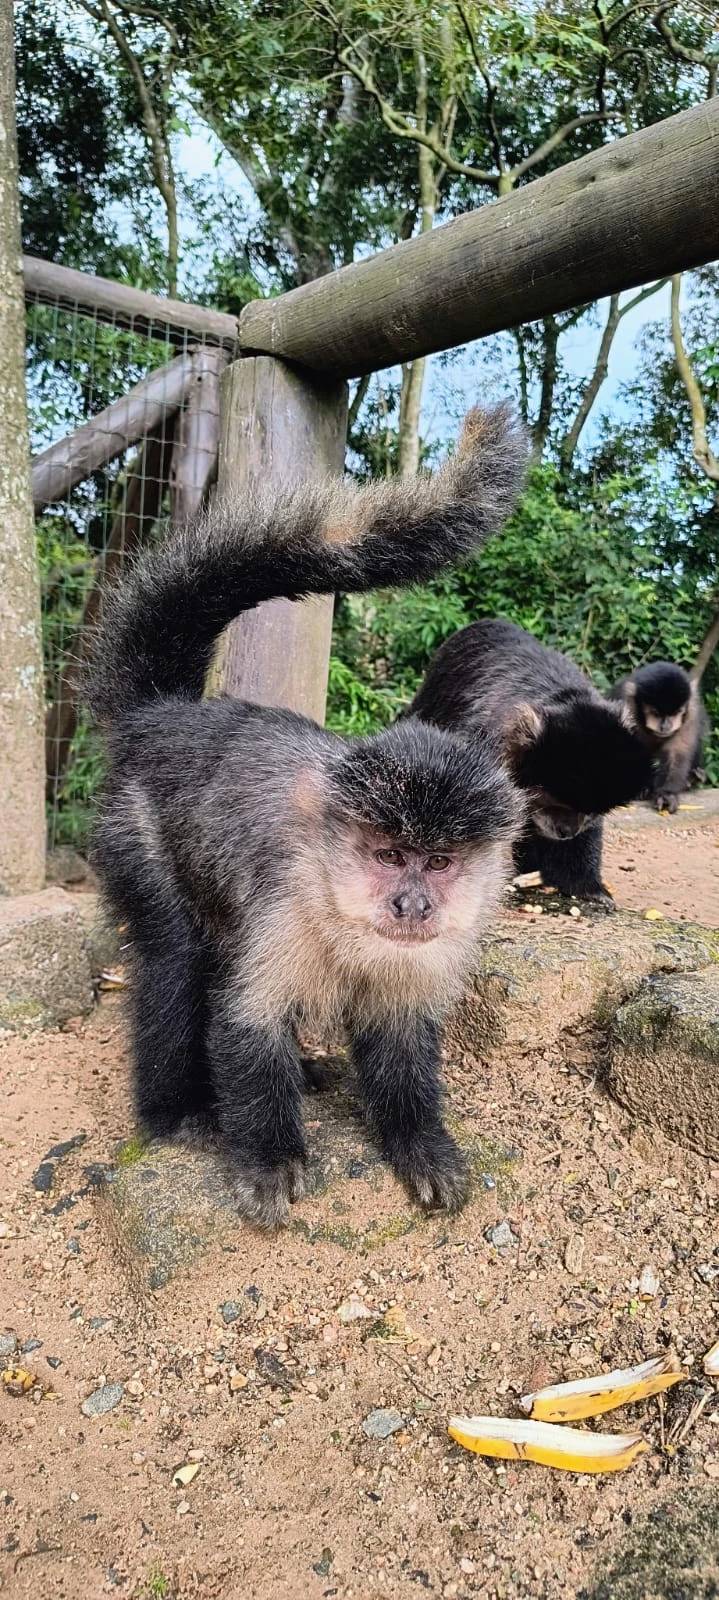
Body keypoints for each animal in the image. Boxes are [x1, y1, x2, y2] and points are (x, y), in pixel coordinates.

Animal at [86, 404, 529, 1229]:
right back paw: (174, 1113)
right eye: (388, 854)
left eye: (439, 862)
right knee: (176, 957)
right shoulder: (288, 903)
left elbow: (400, 1039)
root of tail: (161, 717)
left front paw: (419, 1145)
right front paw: (268, 1156)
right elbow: (244, 1023)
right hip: (129, 826)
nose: (412, 904)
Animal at [609, 662, 709, 814]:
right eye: (655, 713)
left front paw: (667, 794)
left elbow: (677, 752)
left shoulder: (691, 709)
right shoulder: (625, 703)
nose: (665, 726)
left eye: (675, 713)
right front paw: (642, 789)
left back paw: (691, 779)